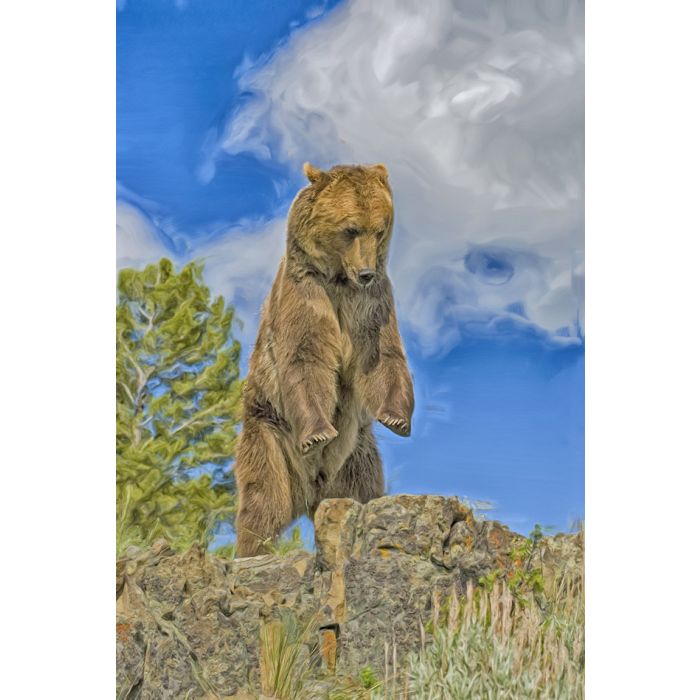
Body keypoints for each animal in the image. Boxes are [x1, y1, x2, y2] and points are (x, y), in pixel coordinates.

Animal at [232, 161, 412, 556]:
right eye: (350, 229)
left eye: (379, 229)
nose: (366, 272)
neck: (340, 281)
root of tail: (310, 493)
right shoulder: (306, 293)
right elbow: (306, 358)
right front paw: (317, 433)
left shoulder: (372, 305)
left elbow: (382, 356)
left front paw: (397, 417)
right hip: (270, 435)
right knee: (263, 502)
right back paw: (251, 551)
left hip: (355, 457)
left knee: (361, 495)